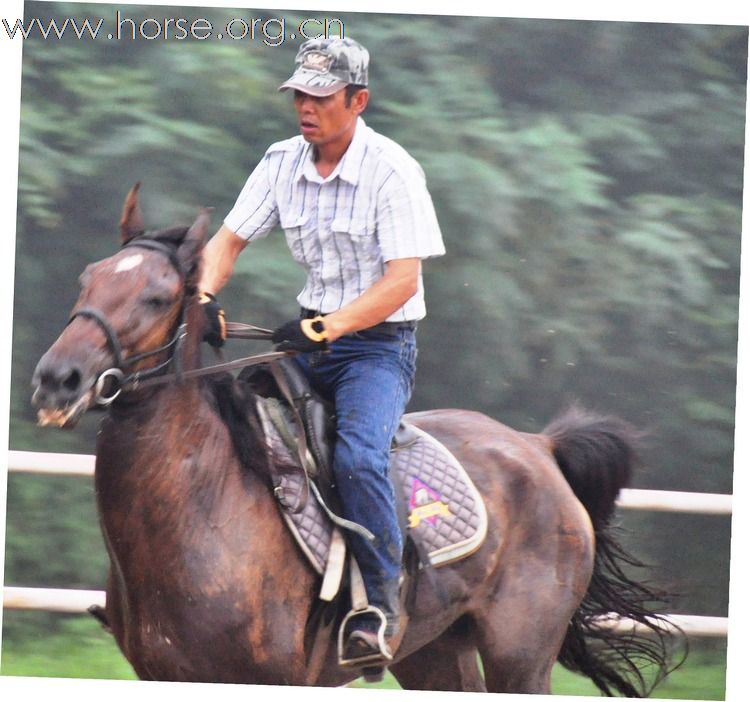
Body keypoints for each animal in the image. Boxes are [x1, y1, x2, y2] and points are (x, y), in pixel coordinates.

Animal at [30, 186, 680, 692]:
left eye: (157, 296)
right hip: (434, 653)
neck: (208, 500)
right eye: (87, 280)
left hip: (520, 657)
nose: (58, 379)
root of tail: (539, 449)